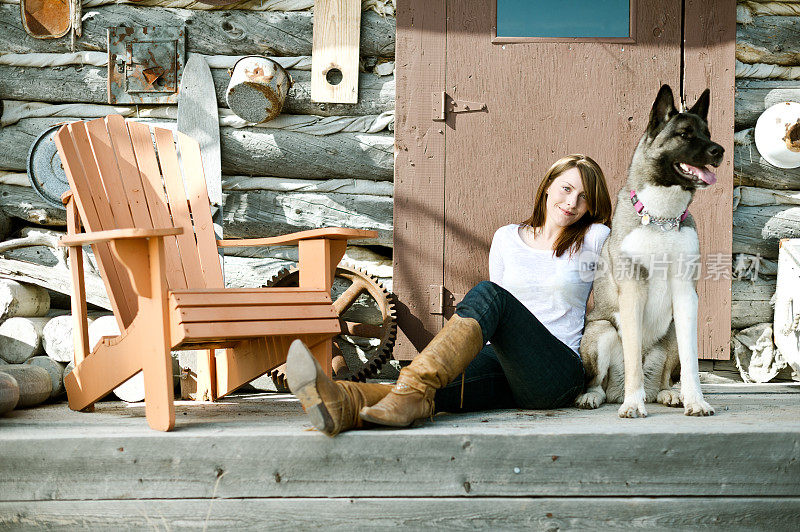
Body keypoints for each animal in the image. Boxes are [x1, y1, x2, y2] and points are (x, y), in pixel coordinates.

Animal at [576, 84, 724, 416]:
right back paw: (599, 396)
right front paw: (633, 403)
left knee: (664, 377)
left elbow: (692, 363)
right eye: (684, 134)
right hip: (600, 331)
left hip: (670, 334)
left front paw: (696, 400)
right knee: (601, 379)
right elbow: (631, 358)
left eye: (707, 133)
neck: (662, 219)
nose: (719, 150)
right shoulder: (632, 292)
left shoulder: (686, 294)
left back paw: (668, 394)